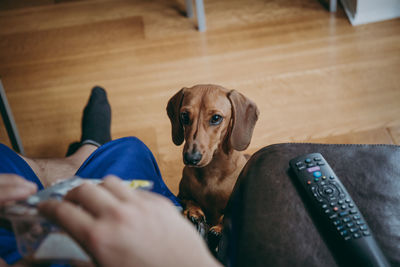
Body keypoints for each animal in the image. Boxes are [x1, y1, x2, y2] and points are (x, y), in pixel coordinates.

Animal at [166, 85, 258, 246]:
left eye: (216, 118)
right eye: (184, 116)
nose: (191, 158)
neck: (211, 171)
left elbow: (226, 215)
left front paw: (219, 229)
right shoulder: (181, 195)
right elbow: (189, 201)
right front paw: (194, 212)